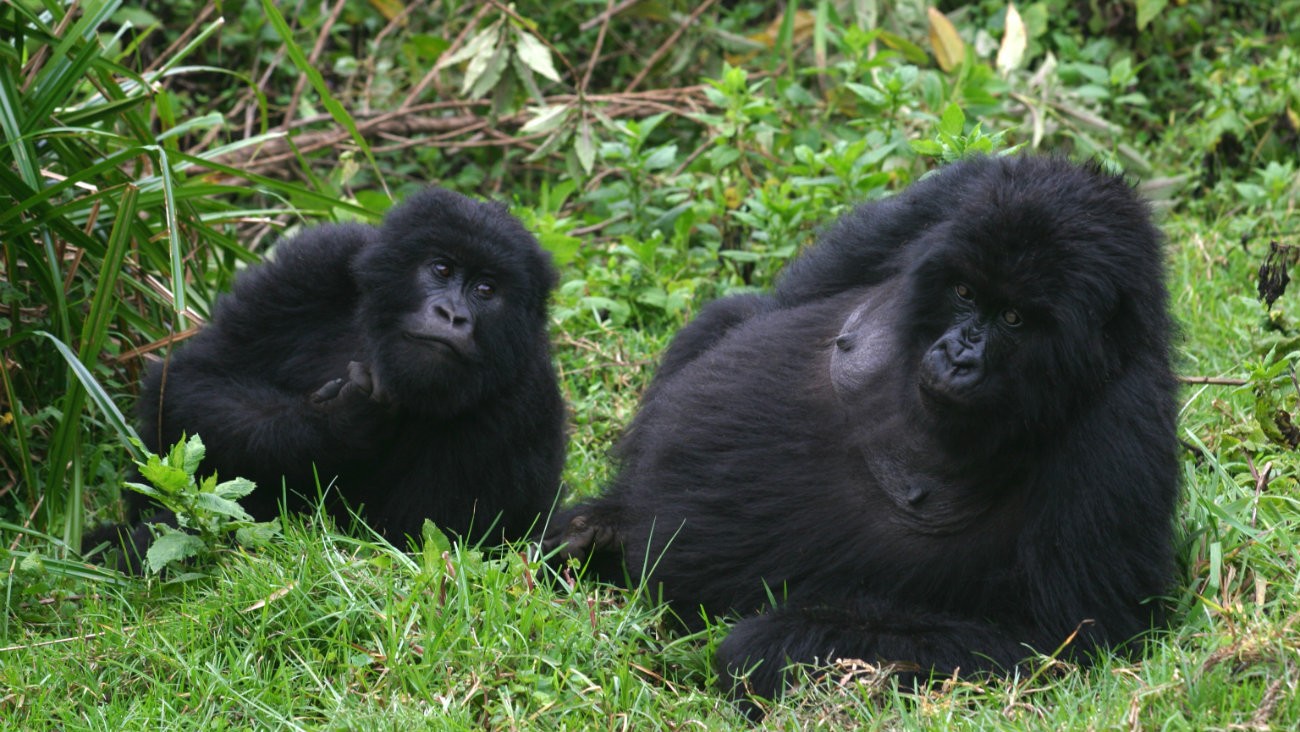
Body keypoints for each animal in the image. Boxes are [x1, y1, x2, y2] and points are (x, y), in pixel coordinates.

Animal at [86, 187, 564, 572]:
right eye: (442, 269)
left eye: (486, 290)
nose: (452, 315)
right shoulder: (312, 263)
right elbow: (190, 384)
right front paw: (337, 425)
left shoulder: (523, 396)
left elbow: (416, 546)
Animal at [543, 156, 1185, 712]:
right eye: (965, 293)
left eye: (1014, 319)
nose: (958, 355)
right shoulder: (956, 192)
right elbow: (775, 302)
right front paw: (605, 519)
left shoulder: (1121, 427)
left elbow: (1058, 638)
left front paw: (774, 646)